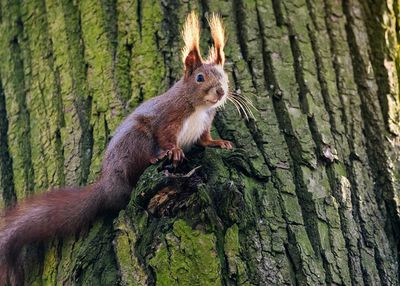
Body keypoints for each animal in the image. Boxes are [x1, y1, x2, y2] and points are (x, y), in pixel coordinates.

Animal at [0, 11, 234, 286]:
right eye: (200, 78)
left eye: (224, 76)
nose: (220, 92)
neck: (197, 107)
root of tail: (108, 185)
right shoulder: (166, 118)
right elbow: (165, 136)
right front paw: (173, 151)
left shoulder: (205, 123)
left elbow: (205, 140)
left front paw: (220, 143)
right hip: (135, 140)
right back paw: (156, 157)